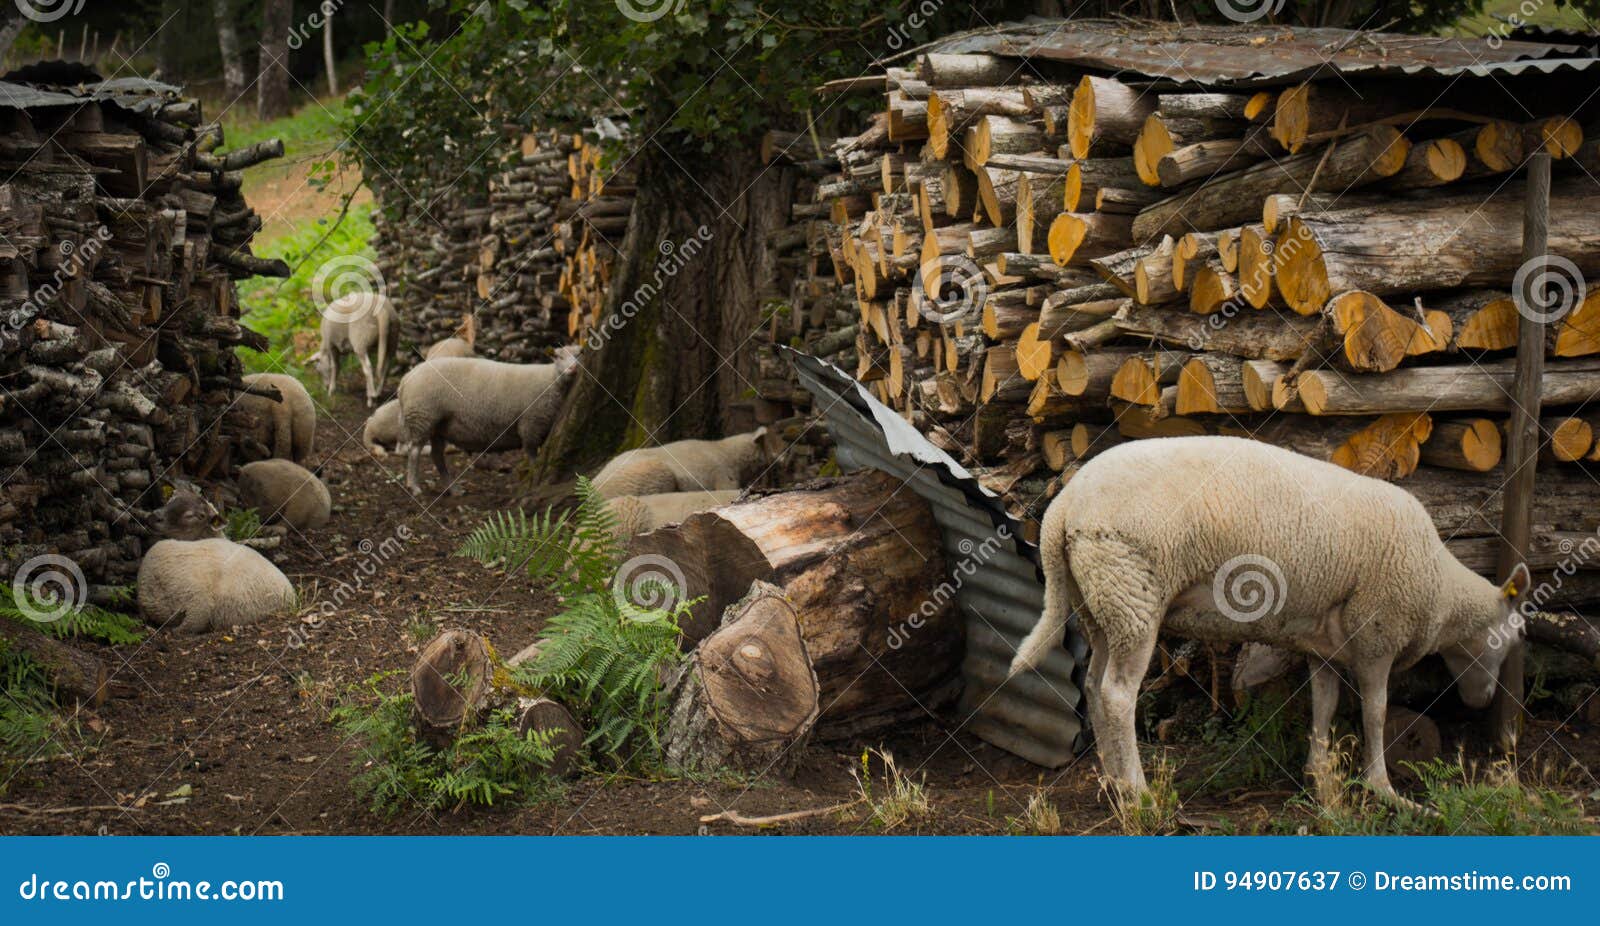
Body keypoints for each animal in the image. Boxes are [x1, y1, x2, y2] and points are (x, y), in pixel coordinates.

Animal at [396, 355, 579, 495]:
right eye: (559, 355)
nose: (573, 368)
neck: (552, 379)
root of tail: (406, 378)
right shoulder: (531, 424)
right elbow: (533, 455)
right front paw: (535, 474)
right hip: (422, 416)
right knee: (414, 451)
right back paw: (414, 486)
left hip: (438, 426)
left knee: (436, 455)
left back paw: (453, 489)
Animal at [1011, 438, 1523, 802]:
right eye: (1510, 637)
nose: (1483, 700)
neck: (1443, 590)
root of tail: (1062, 509)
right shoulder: (1378, 635)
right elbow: (1374, 712)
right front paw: (1384, 789)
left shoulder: (1326, 646)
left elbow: (1325, 703)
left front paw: (1321, 779)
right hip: (1132, 592)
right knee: (1117, 694)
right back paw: (1140, 794)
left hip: (1099, 604)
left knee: (1094, 683)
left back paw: (1115, 782)